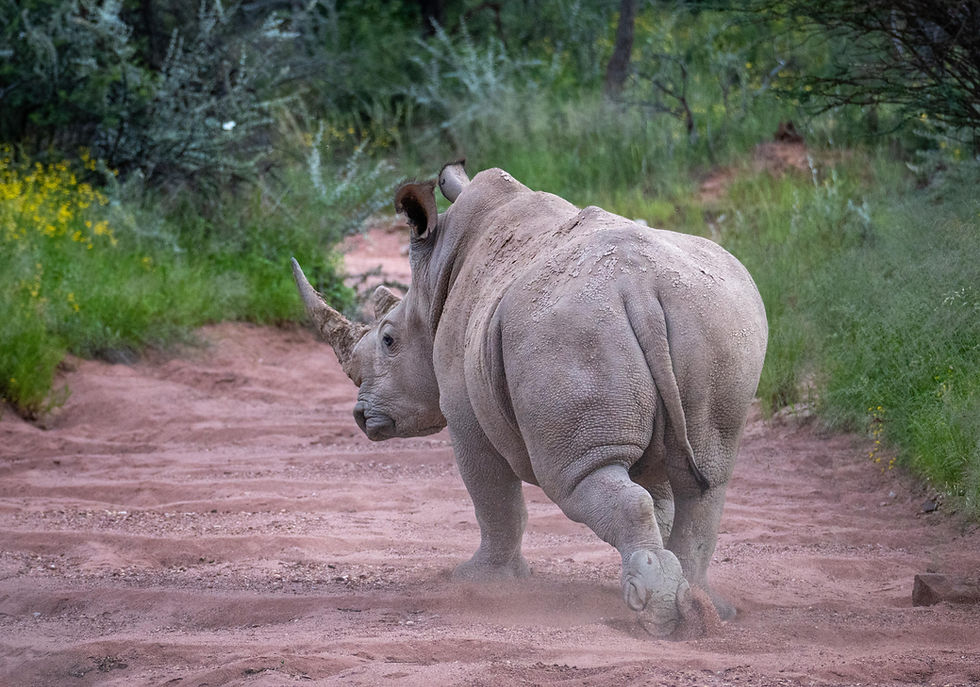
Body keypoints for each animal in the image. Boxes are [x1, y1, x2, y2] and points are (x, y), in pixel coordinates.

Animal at [291, 162, 767, 636]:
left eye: (388, 339)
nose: (360, 415)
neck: (435, 276)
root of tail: (642, 288)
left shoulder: (465, 414)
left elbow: (494, 499)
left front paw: (480, 581)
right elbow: (661, 502)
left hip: (567, 332)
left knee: (572, 481)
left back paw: (656, 612)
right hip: (712, 317)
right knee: (706, 482)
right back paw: (701, 608)